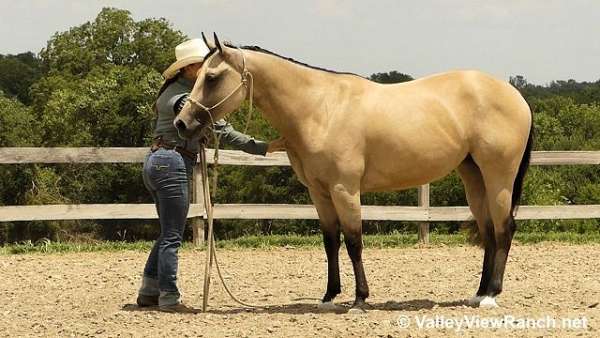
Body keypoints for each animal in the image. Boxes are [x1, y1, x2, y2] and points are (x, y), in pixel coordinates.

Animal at [175, 33, 536, 312]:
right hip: (474, 177)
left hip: (499, 178)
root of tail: (516, 96)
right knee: (488, 231)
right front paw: (329, 296)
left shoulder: (344, 189)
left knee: (504, 229)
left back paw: (491, 295)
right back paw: (478, 293)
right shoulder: (319, 192)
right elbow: (330, 241)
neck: (320, 109)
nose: (182, 122)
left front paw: (360, 299)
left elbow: (353, 241)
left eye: (211, 77)